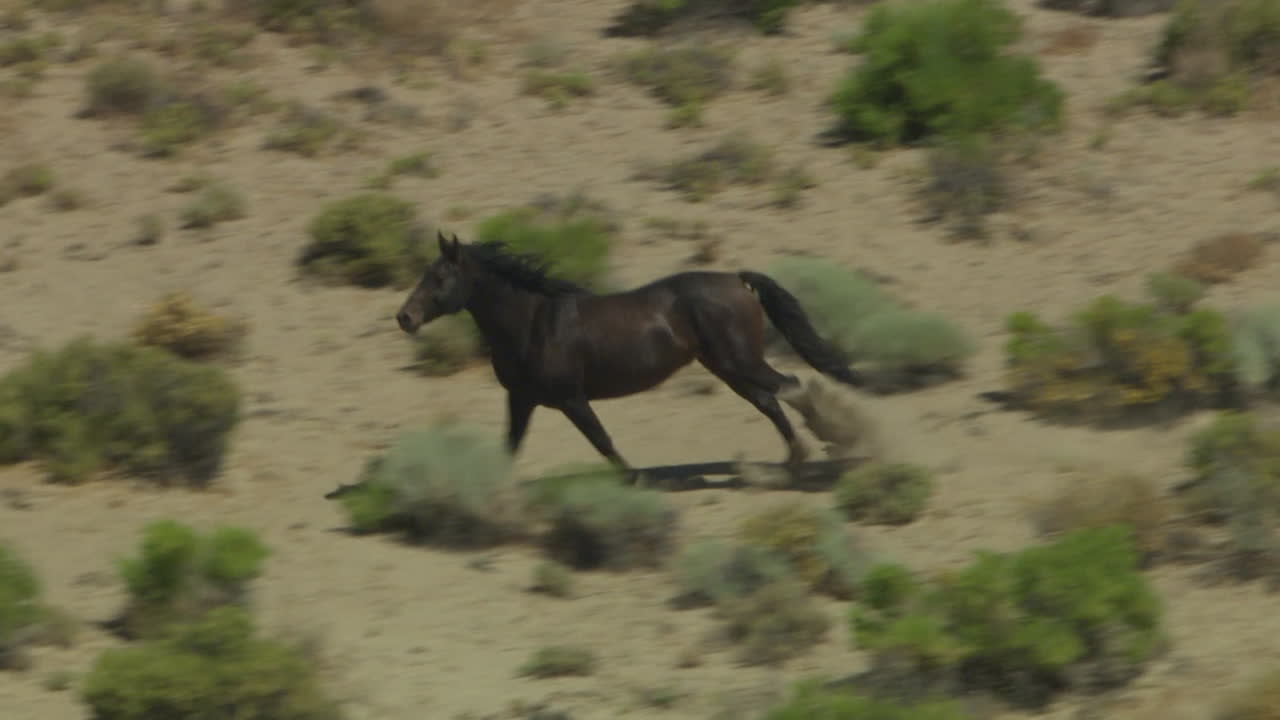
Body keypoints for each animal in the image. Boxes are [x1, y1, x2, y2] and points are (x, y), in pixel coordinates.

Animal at [395, 232, 866, 481]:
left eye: (440, 277)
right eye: (425, 274)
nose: (405, 317)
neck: (532, 322)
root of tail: (737, 281)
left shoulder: (570, 398)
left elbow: (602, 440)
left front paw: (634, 478)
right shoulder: (521, 399)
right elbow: (511, 446)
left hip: (740, 361)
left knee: (790, 386)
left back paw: (827, 446)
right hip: (727, 367)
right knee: (771, 399)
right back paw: (793, 460)